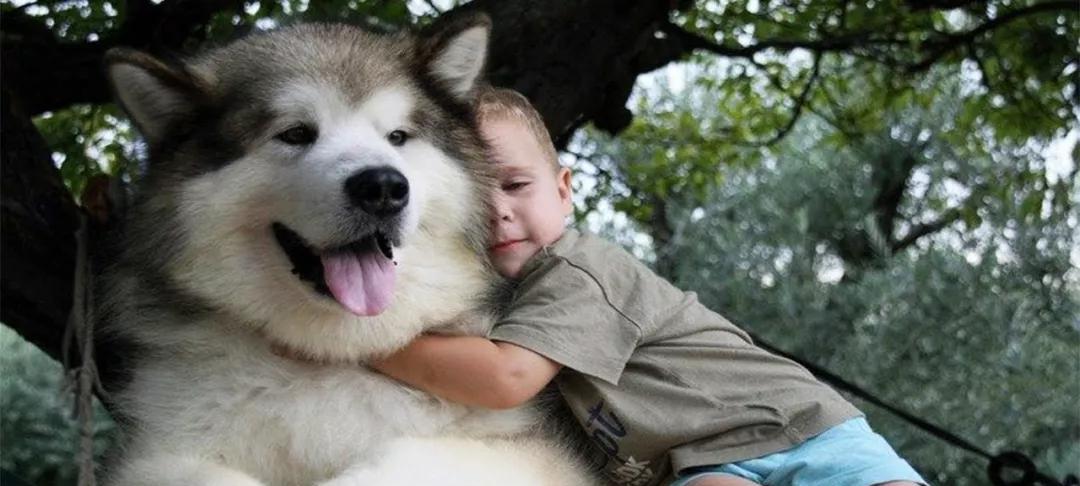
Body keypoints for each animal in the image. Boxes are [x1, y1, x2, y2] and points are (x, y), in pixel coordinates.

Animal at [97, 12, 596, 486]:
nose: (383, 188)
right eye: (296, 133)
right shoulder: (157, 454)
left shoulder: (530, 450)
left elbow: (407, 456)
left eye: (397, 136)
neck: (332, 352)